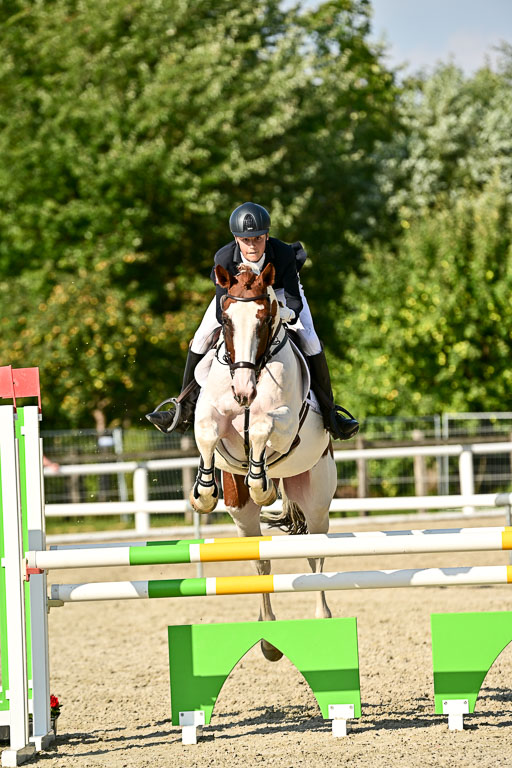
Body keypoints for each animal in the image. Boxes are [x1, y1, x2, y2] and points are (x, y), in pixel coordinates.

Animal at [190, 262, 337, 660]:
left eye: (263, 319)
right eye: (225, 319)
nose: (243, 392)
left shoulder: (285, 425)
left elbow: (260, 426)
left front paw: (262, 486)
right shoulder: (210, 417)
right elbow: (208, 431)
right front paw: (204, 493)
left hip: (316, 498)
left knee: (315, 555)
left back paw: (321, 618)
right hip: (241, 514)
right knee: (261, 558)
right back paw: (268, 638)